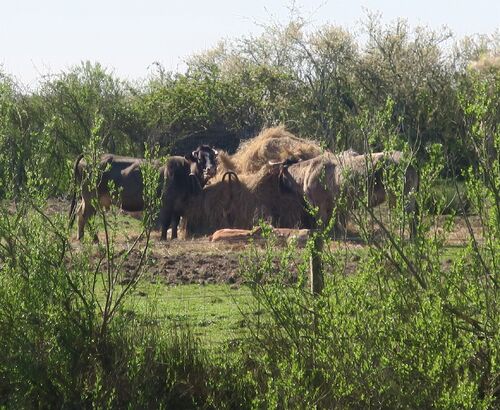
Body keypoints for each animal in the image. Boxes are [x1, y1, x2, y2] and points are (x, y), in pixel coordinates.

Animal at [69, 146, 218, 240]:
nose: (211, 169)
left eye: (213, 158)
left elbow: (175, 222)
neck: (184, 173)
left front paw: (174, 237)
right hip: (91, 197)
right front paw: (163, 238)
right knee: (86, 216)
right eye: (200, 158)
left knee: (80, 214)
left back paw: (81, 237)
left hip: (89, 199)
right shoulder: (166, 202)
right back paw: (94, 239)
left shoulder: (179, 205)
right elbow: (166, 221)